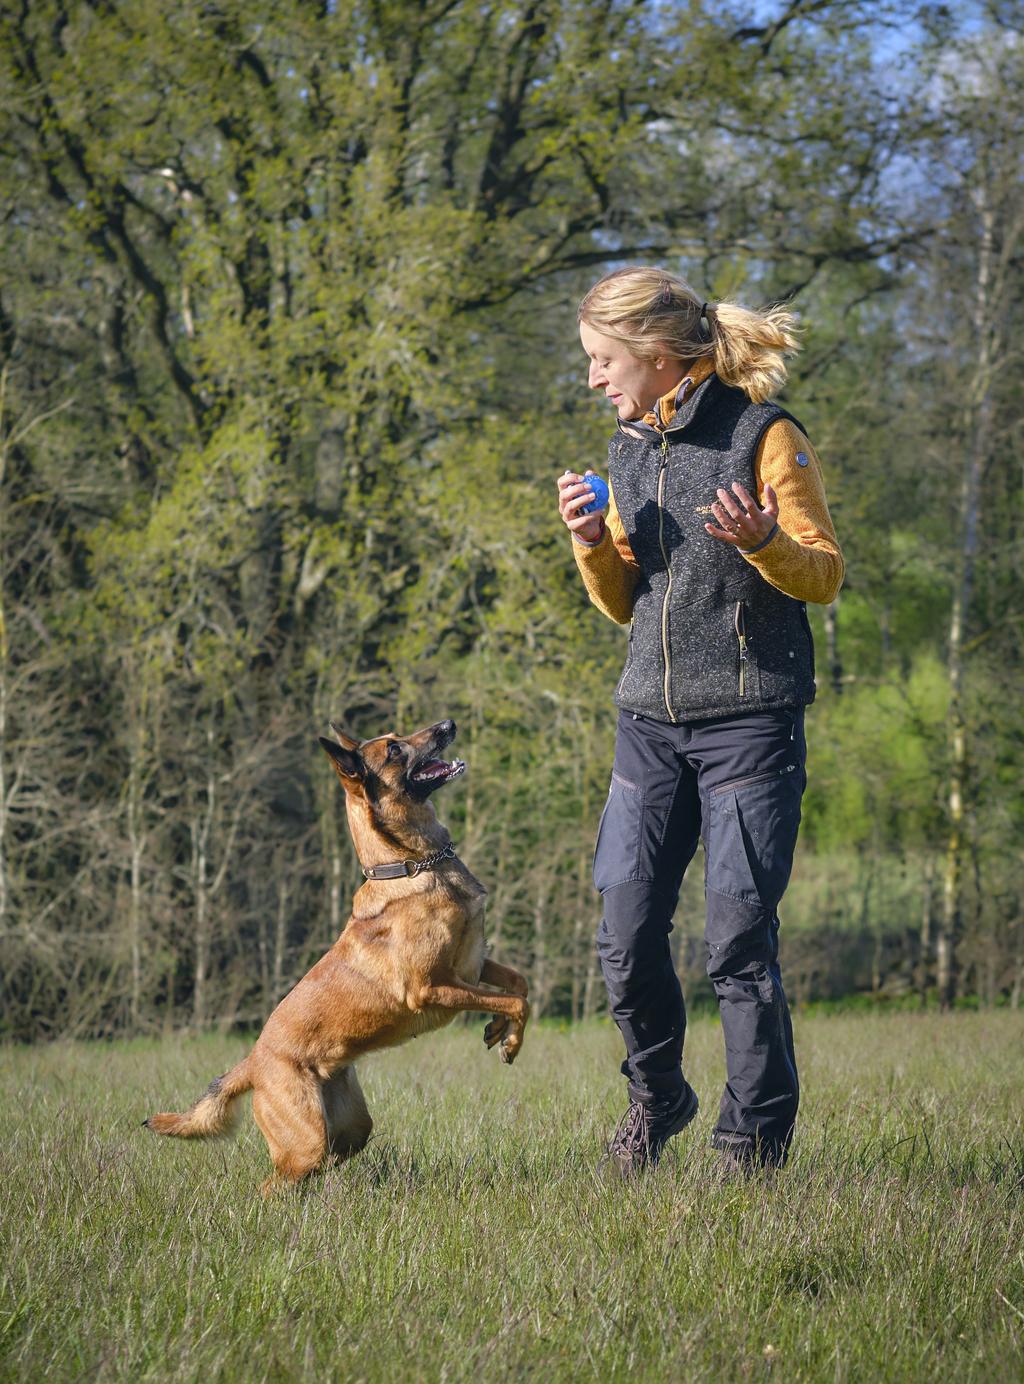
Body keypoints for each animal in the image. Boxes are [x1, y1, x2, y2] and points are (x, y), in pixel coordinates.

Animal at [143, 719, 528, 1184]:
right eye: (394, 750)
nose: (447, 725)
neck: (414, 865)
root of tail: (252, 1062)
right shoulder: (434, 987)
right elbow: (515, 1000)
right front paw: (511, 1042)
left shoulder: (472, 963)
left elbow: (519, 984)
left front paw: (500, 1031)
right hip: (304, 1141)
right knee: (276, 1181)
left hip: (349, 1128)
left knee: (329, 1159)